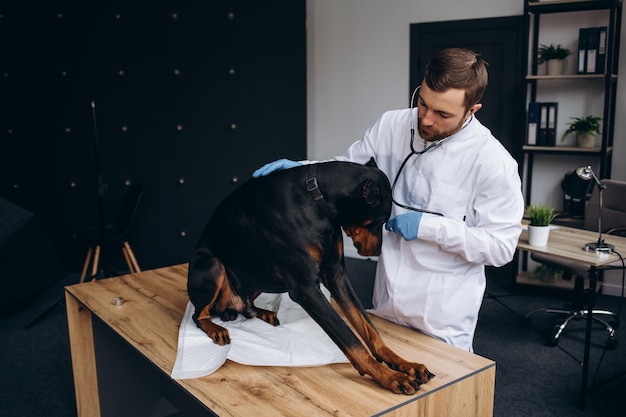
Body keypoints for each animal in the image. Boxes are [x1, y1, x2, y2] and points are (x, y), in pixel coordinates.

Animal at [185, 158, 432, 394]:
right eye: (379, 221)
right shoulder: (306, 288)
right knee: (199, 315)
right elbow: (351, 340)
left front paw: (404, 364)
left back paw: (263, 312)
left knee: (246, 306)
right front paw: (390, 377)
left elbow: (369, 329)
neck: (317, 201)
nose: (377, 252)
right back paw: (216, 328)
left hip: (258, 275)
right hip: (213, 265)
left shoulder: (337, 276)